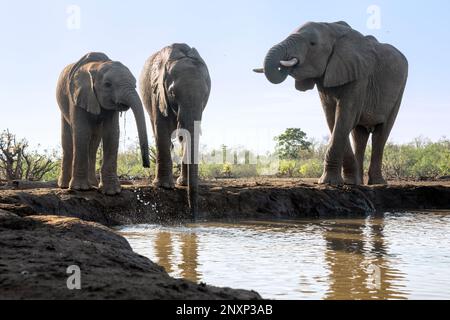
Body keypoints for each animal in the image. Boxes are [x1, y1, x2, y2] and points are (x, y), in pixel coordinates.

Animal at [56, 52, 150, 195]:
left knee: (94, 143)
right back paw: (65, 185)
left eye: (135, 84)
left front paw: (112, 192)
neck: (96, 66)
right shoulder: (77, 96)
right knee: (67, 140)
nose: (146, 165)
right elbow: (82, 132)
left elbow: (112, 133)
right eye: (107, 85)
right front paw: (80, 189)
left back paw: (93, 184)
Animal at [141, 43, 211, 218]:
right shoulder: (157, 92)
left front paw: (183, 184)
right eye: (172, 93)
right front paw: (164, 186)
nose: (193, 216)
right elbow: (162, 129)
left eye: (206, 95)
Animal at [255, 21, 410, 185]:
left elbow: (345, 115)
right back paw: (360, 182)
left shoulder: (359, 75)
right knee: (359, 136)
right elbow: (332, 118)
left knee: (381, 133)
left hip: (399, 90)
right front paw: (349, 182)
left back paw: (378, 183)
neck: (331, 28)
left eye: (312, 43)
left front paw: (328, 182)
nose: (285, 66)